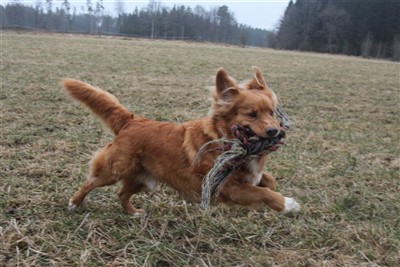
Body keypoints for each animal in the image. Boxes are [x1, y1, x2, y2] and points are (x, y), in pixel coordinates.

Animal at [62, 67, 300, 216]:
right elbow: (264, 193)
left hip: (141, 177)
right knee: (91, 182)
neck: (221, 137)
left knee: (122, 194)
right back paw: (74, 203)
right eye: (251, 114)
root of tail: (132, 120)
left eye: (272, 112)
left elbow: (268, 180)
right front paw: (287, 204)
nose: (274, 131)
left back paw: (133, 213)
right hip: (114, 170)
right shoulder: (228, 187)